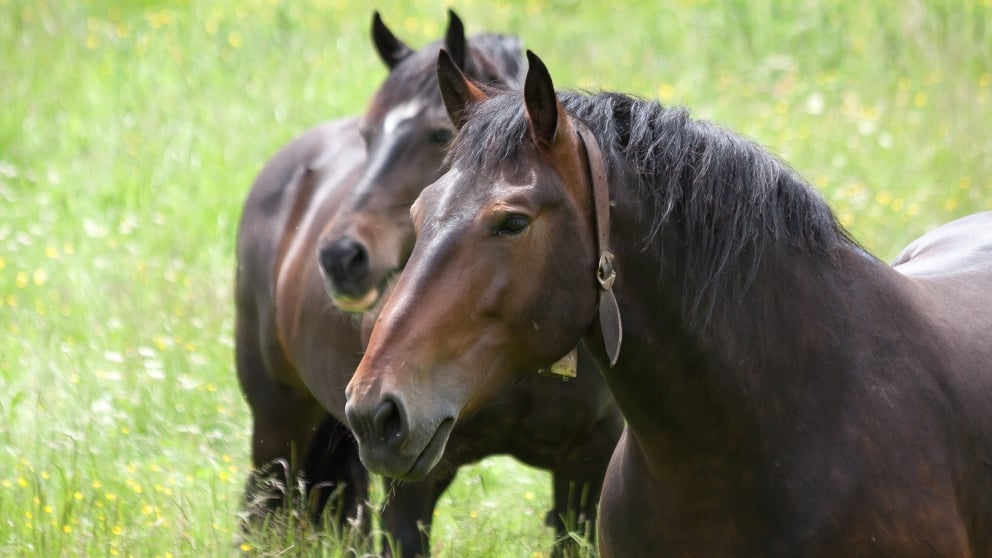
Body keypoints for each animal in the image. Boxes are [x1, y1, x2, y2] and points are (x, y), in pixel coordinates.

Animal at [234, 12, 620, 556]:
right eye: (367, 135)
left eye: (438, 135)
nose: (339, 256)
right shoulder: (409, 479)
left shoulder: (586, 470)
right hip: (276, 424)